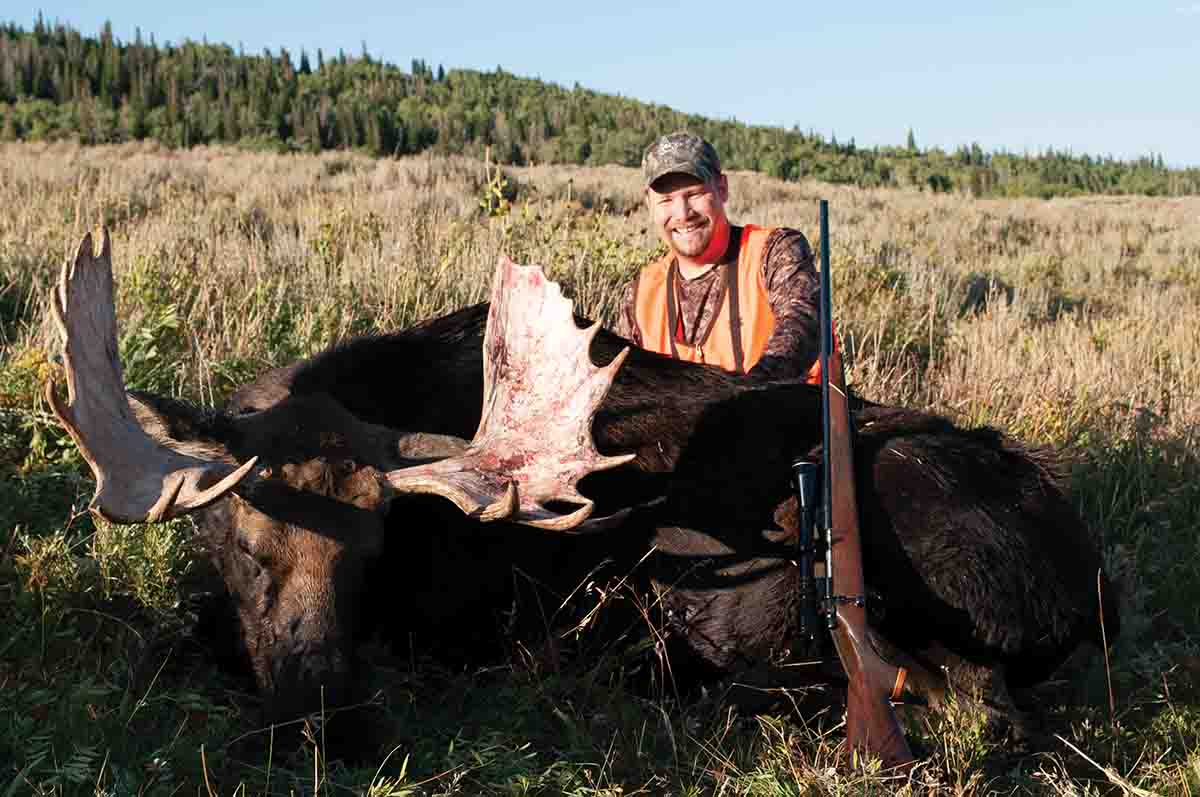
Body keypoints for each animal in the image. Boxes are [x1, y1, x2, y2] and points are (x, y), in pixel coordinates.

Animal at [46, 231, 1113, 758]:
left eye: (376, 549)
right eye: (235, 536)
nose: (326, 719)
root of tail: (1084, 577)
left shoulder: (466, 627)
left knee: (984, 707)